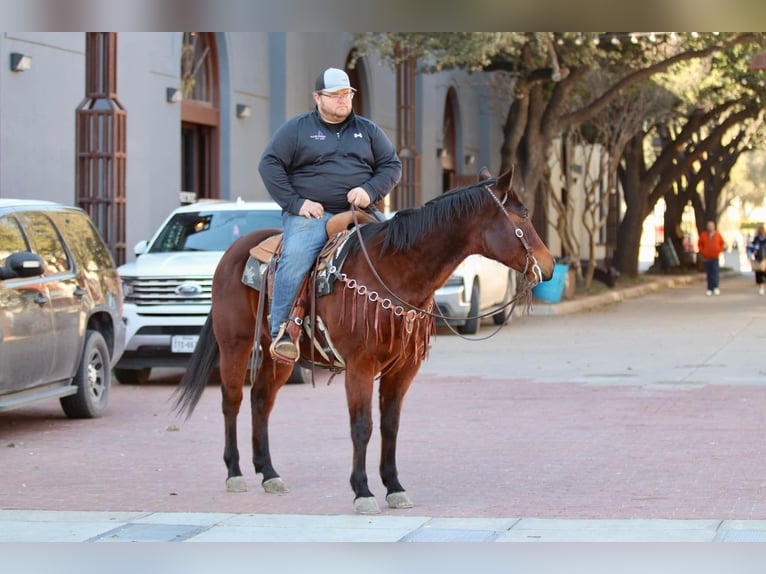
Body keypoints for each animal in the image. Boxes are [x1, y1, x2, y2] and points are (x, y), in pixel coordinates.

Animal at [175, 169, 556, 516]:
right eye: (523, 214)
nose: (550, 265)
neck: (394, 271)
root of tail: (232, 252)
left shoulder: (403, 368)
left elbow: (390, 425)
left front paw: (395, 487)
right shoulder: (360, 365)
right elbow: (362, 426)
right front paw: (362, 491)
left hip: (279, 355)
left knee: (261, 400)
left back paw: (268, 473)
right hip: (234, 344)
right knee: (232, 401)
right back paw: (235, 472)